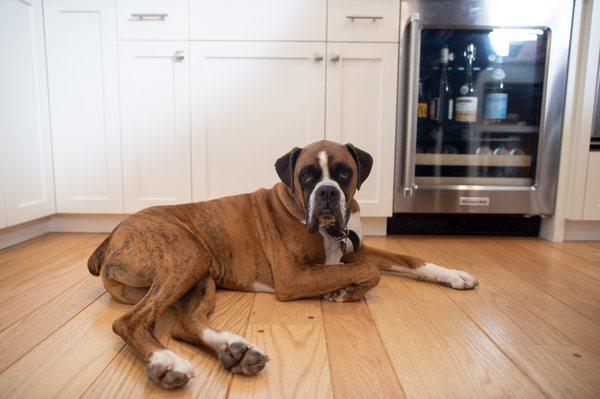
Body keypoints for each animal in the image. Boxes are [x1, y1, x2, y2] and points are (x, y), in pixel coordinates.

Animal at [86, 140, 478, 388]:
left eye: (343, 173)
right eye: (306, 176)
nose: (327, 191)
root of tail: (112, 235)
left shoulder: (355, 249)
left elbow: (406, 258)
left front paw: (453, 274)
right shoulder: (294, 278)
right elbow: (370, 272)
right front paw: (345, 290)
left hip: (200, 276)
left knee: (184, 326)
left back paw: (234, 351)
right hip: (188, 257)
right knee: (130, 322)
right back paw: (165, 363)